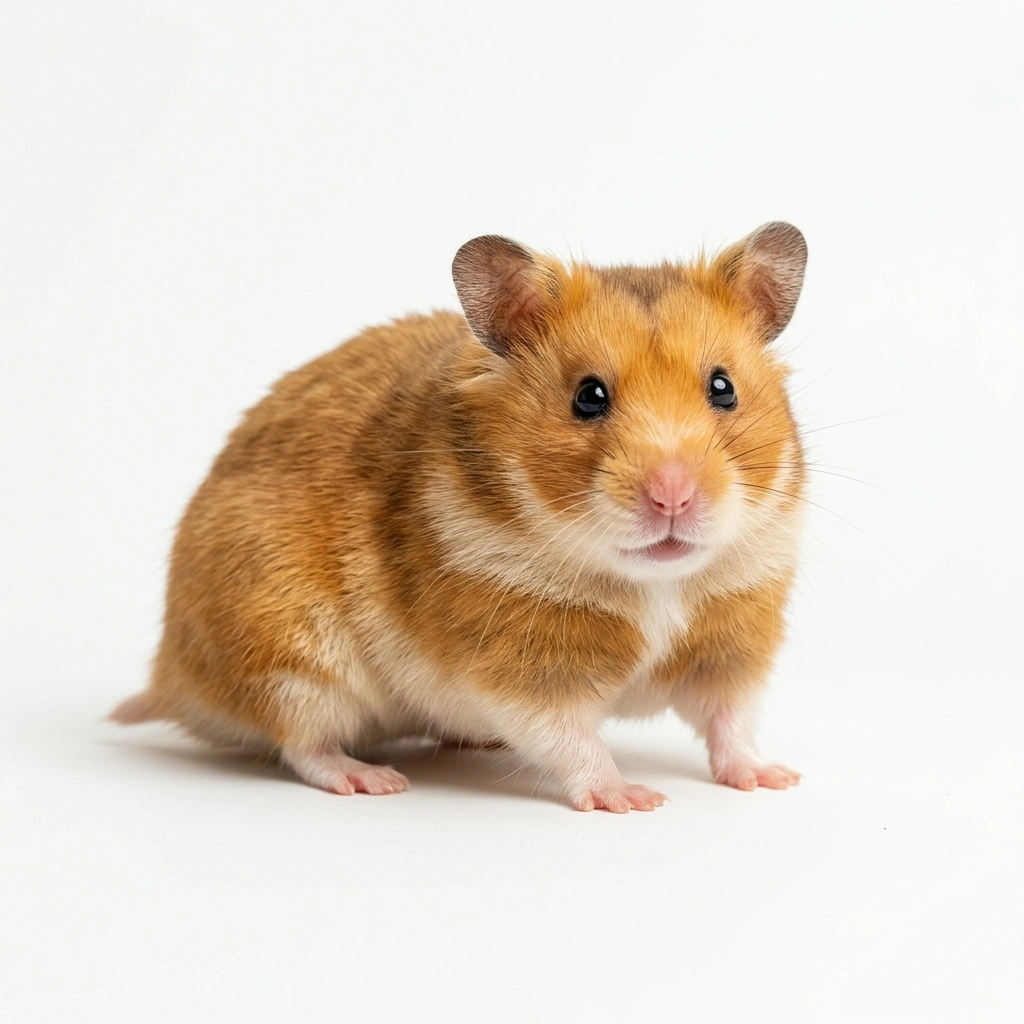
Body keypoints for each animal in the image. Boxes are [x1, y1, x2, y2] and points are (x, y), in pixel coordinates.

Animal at [112, 222, 808, 812]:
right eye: (588, 397)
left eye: (723, 387)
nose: (673, 497)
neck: (654, 583)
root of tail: (172, 676)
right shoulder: (517, 672)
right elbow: (573, 740)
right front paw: (635, 799)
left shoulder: (734, 647)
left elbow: (730, 721)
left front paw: (774, 779)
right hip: (288, 650)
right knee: (304, 743)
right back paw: (374, 780)